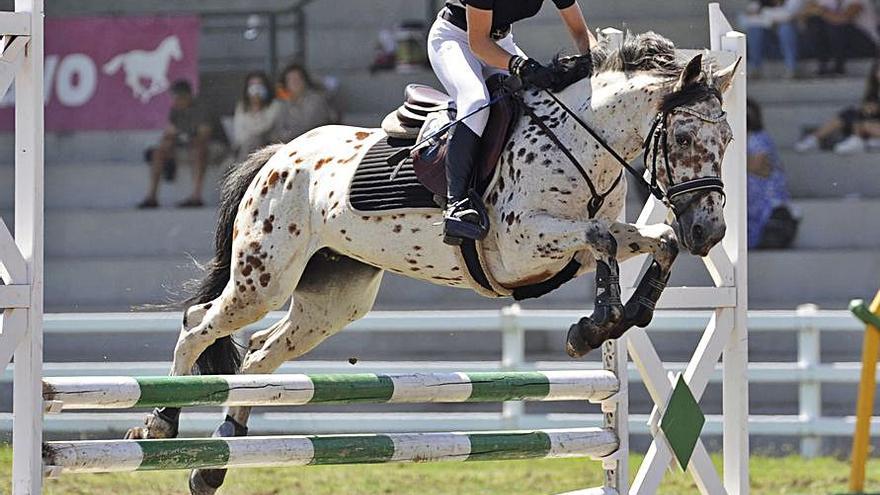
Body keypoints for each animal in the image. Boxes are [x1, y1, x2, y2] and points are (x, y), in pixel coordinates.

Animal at [125, 32, 744, 495]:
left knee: (257, 355)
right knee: (199, 325)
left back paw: (215, 462)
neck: (583, 138)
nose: (711, 232)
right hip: (265, 278)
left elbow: (645, 243)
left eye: (729, 139)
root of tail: (280, 154)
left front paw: (608, 322)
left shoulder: (596, 231)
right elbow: (602, 239)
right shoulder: (520, 245)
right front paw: (595, 326)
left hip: (332, 301)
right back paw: (161, 423)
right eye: (683, 136)